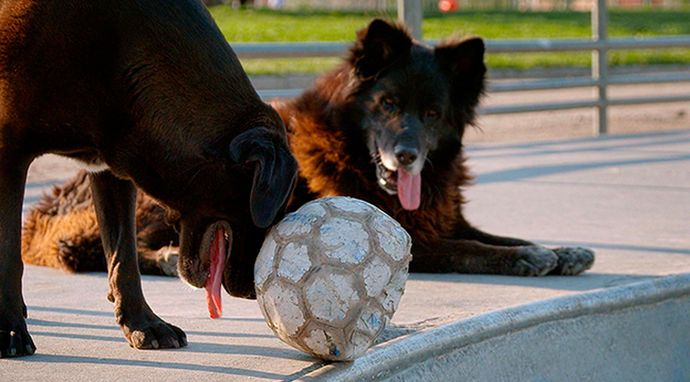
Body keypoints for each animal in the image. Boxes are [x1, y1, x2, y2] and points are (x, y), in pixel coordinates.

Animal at [0, 0, 296, 358]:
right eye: (279, 206)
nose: (253, 292)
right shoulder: (8, 150)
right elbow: (8, 255)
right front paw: (9, 328)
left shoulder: (109, 167)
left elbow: (123, 257)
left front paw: (143, 323)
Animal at [21, 18, 592, 304]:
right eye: (388, 104)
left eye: (432, 113)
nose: (407, 156)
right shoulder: (423, 238)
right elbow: (470, 248)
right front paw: (527, 258)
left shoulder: (443, 216)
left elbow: (499, 233)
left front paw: (561, 249)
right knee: (120, 249)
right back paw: (164, 259)